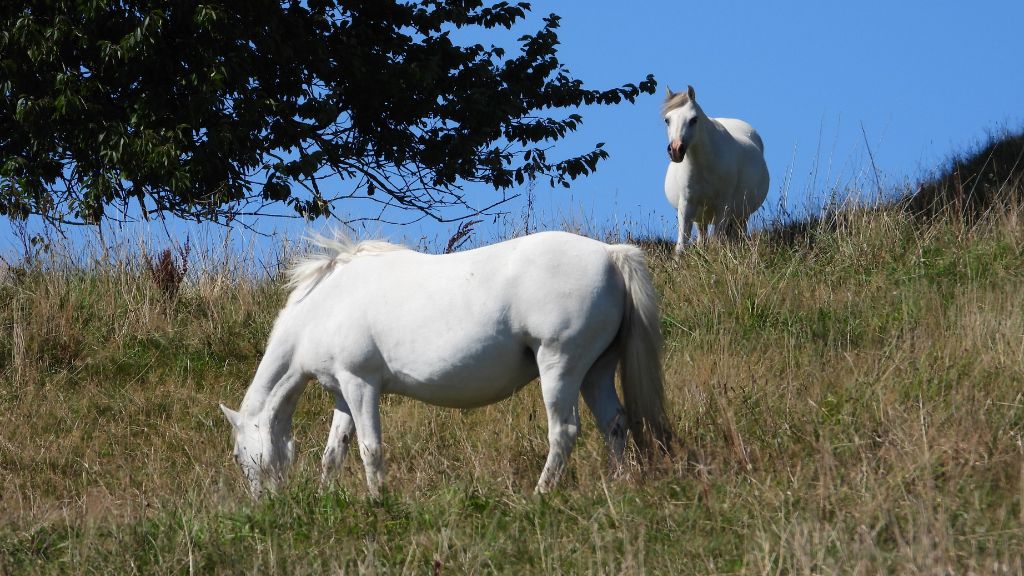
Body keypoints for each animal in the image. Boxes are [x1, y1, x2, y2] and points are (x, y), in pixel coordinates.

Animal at [219, 231, 672, 498]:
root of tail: (611, 254)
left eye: (240, 455)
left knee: (564, 431)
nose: (265, 505)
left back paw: (540, 494)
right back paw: (617, 484)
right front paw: (324, 496)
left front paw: (377, 502)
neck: (325, 304)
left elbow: (369, 448)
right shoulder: (344, 394)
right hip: (596, 370)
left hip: (560, 365)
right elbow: (335, 451)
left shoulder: (361, 384)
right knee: (614, 423)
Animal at [663, 85, 769, 252]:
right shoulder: (686, 204)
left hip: (741, 215)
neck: (705, 166)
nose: (675, 150)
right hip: (702, 216)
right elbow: (682, 243)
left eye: (693, 119)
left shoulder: (723, 206)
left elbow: (718, 240)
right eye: (667, 120)